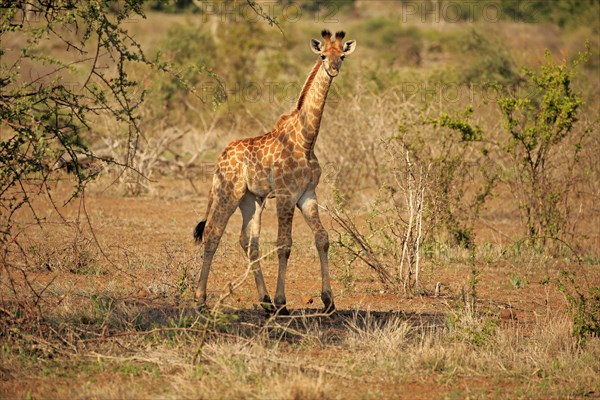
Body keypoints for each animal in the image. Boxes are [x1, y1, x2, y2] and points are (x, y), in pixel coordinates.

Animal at [193, 29, 356, 314]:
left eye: (342, 56)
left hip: (252, 200)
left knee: (248, 242)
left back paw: (264, 299)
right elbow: (284, 244)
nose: (333, 69)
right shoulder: (285, 195)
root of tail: (219, 158)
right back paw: (201, 299)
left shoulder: (307, 194)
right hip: (228, 193)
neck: (306, 140)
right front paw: (282, 302)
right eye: (323, 55)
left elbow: (322, 238)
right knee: (213, 233)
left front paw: (328, 300)